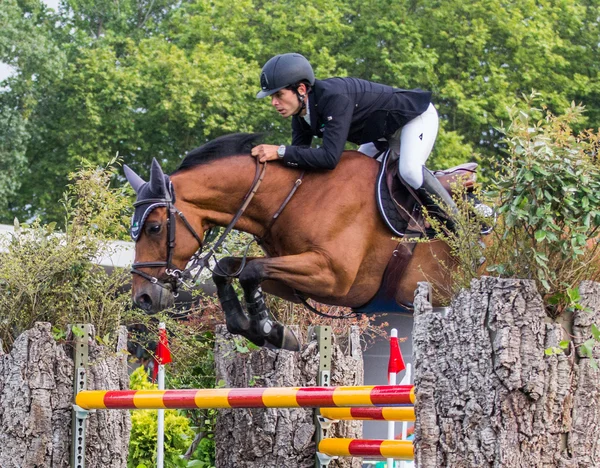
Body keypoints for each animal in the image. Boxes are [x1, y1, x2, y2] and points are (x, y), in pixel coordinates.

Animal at [125, 133, 454, 350]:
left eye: (154, 228)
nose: (142, 298)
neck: (296, 196)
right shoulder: (295, 281)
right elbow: (228, 270)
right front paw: (254, 327)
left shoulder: (334, 279)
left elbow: (250, 272)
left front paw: (267, 329)